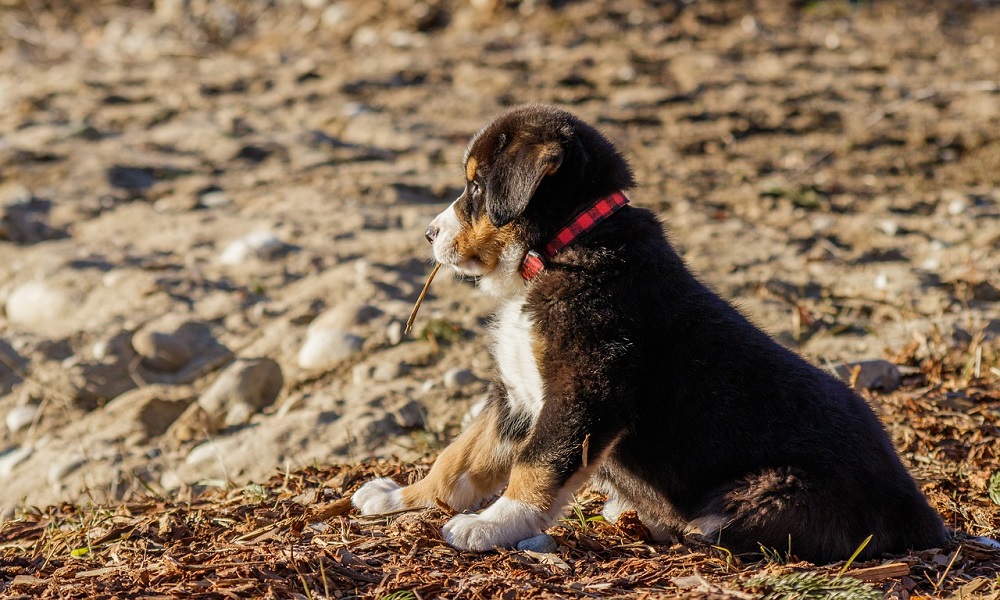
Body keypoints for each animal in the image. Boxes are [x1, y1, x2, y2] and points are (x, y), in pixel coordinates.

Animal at [352, 102, 944, 564]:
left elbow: (534, 465)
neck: (561, 251)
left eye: (476, 185)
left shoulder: (584, 391)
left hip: (770, 493)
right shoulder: (515, 396)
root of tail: (922, 516)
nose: (429, 233)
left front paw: (491, 524)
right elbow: (459, 458)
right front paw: (400, 496)